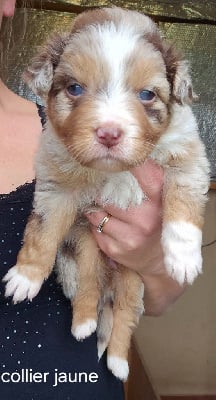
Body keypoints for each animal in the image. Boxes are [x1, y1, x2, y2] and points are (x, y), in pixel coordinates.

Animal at [3, 7, 209, 382]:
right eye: (75, 88)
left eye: (147, 95)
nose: (109, 133)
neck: (116, 170)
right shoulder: (58, 185)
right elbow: (43, 232)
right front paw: (26, 277)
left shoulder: (188, 156)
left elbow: (183, 202)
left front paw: (184, 258)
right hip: (86, 248)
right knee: (89, 284)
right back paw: (83, 323)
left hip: (134, 279)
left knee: (124, 316)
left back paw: (118, 361)